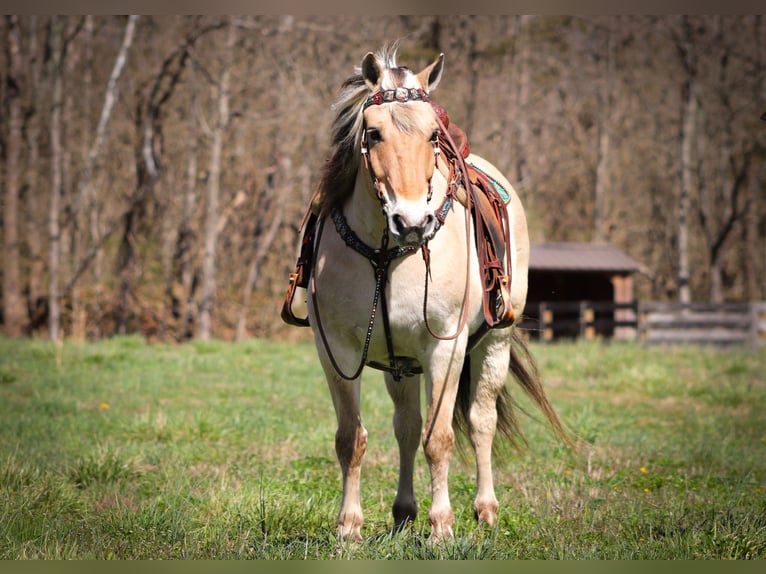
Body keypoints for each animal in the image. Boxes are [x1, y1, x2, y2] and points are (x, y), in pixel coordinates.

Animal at [282, 46, 568, 544]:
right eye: (373, 132)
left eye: (433, 134)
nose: (412, 221)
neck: (385, 254)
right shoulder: (335, 350)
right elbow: (352, 439)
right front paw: (349, 527)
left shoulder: (446, 349)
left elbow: (441, 439)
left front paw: (442, 526)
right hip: (400, 365)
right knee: (407, 427)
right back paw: (403, 513)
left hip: (494, 343)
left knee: (481, 421)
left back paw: (485, 509)